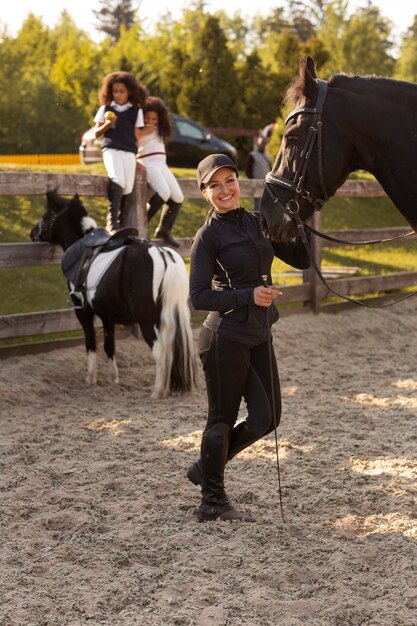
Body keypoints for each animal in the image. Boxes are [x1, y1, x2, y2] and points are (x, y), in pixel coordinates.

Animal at [29, 188, 195, 398]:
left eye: (46, 216)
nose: (32, 233)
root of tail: (164, 256)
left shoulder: (83, 312)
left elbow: (90, 342)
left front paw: (91, 379)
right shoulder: (107, 315)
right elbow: (109, 345)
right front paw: (113, 378)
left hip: (147, 321)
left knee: (160, 351)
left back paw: (158, 391)